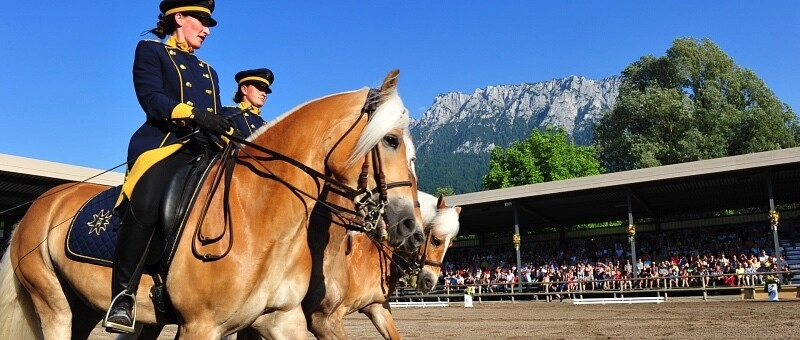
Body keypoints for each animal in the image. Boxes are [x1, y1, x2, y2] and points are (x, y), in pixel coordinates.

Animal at [0, 70, 424, 338]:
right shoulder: (200, 325)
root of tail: (40, 204)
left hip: (83, 307)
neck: (261, 213)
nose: (410, 227)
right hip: (52, 303)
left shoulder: (282, 319)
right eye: (390, 140)